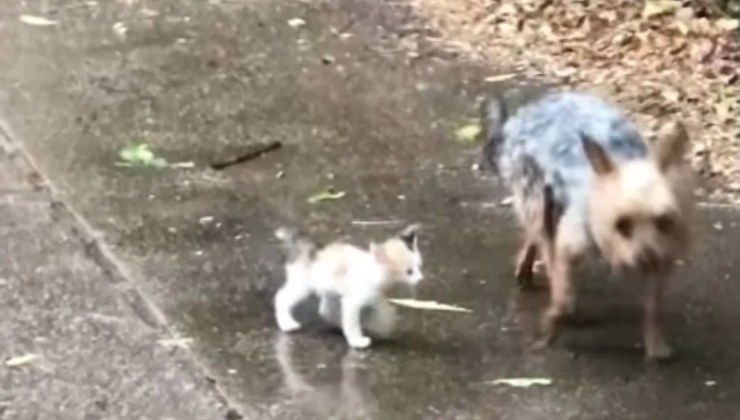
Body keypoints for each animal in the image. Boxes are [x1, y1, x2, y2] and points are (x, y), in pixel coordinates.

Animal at [272, 225, 422, 350]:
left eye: (419, 266)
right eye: (409, 271)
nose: (421, 278)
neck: (374, 270)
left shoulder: (374, 296)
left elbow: (384, 311)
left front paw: (383, 326)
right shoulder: (352, 302)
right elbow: (353, 322)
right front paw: (357, 341)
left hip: (329, 290)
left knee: (326, 310)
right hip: (303, 284)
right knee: (282, 297)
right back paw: (286, 323)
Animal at [486, 91, 692, 358]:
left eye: (664, 221)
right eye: (621, 225)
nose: (645, 260)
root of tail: (523, 114)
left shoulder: (664, 255)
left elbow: (654, 308)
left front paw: (656, 346)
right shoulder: (570, 243)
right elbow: (561, 295)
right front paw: (548, 332)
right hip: (534, 192)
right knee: (542, 237)